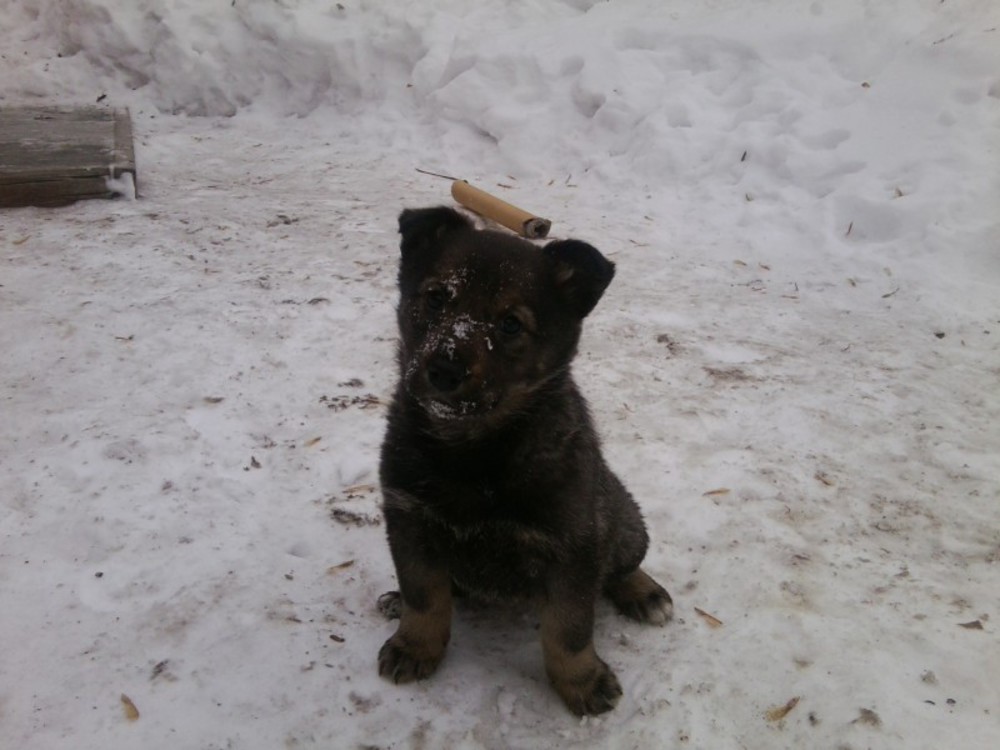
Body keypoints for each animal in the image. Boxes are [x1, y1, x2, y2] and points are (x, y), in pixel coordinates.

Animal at [376, 206, 672, 716]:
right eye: (436, 298)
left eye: (511, 325)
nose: (444, 371)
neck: (473, 448)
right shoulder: (408, 520)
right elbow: (424, 596)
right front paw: (415, 644)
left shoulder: (572, 547)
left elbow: (569, 629)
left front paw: (581, 681)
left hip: (623, 518)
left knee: (623, 563)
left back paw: (644, 591)